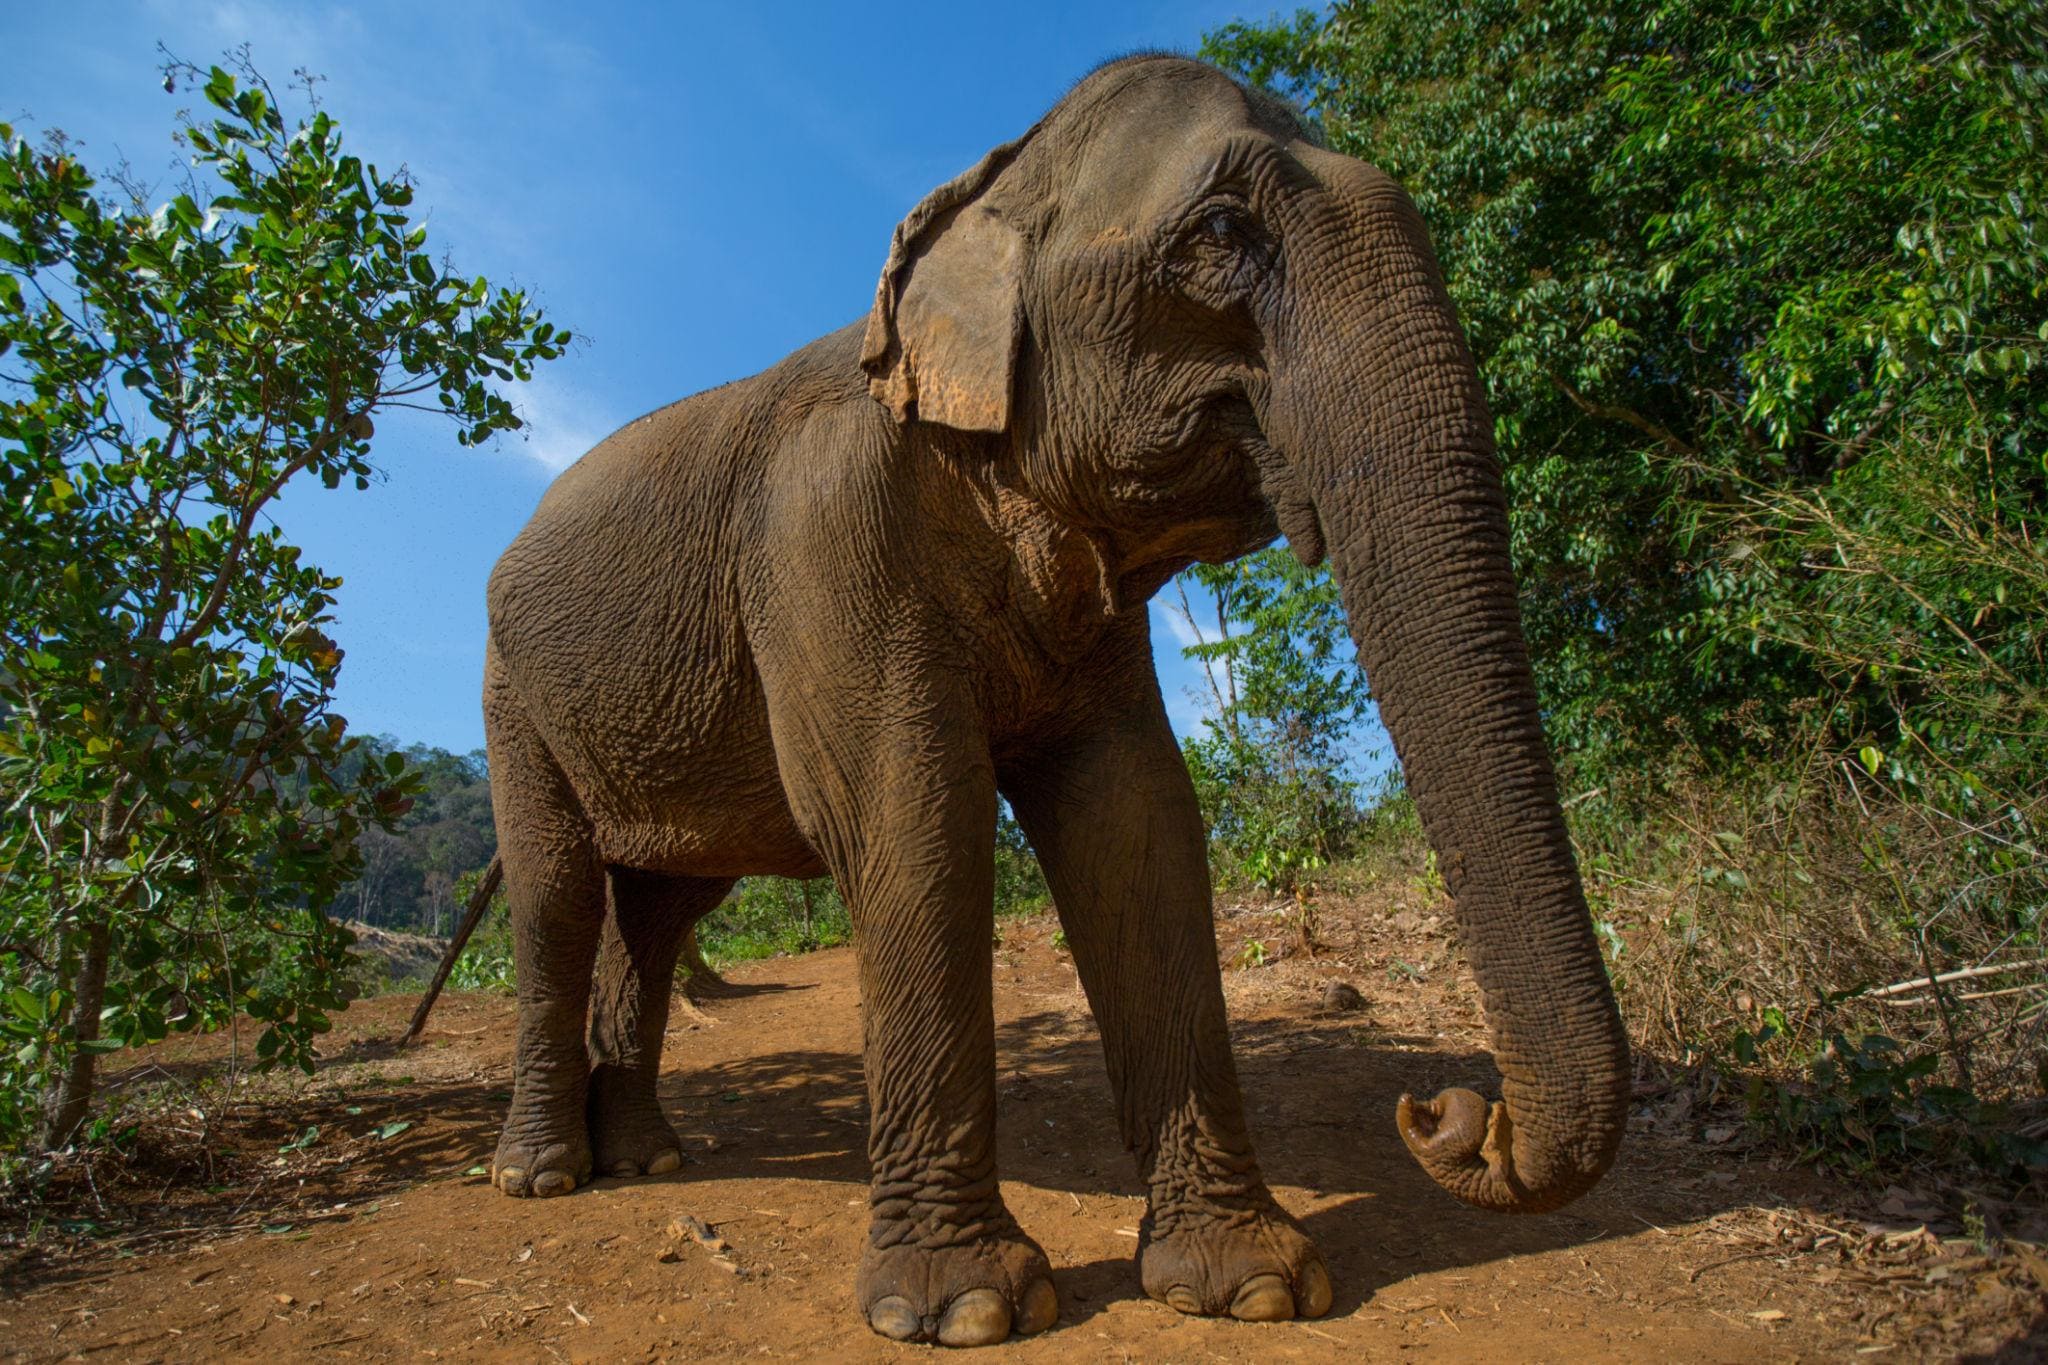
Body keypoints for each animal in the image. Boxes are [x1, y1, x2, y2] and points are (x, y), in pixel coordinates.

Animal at [480, 53, 1630, 1348]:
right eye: (1220, 235)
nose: (1443, 1111)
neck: (978, 199)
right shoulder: (823, 538)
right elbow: (908, 818)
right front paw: (963, 1313)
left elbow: (1134, 822)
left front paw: (1252, 1289)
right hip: (508, 693)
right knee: (559, 893)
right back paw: (542, 1177)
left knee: (664, 910)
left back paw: (648, 1162)